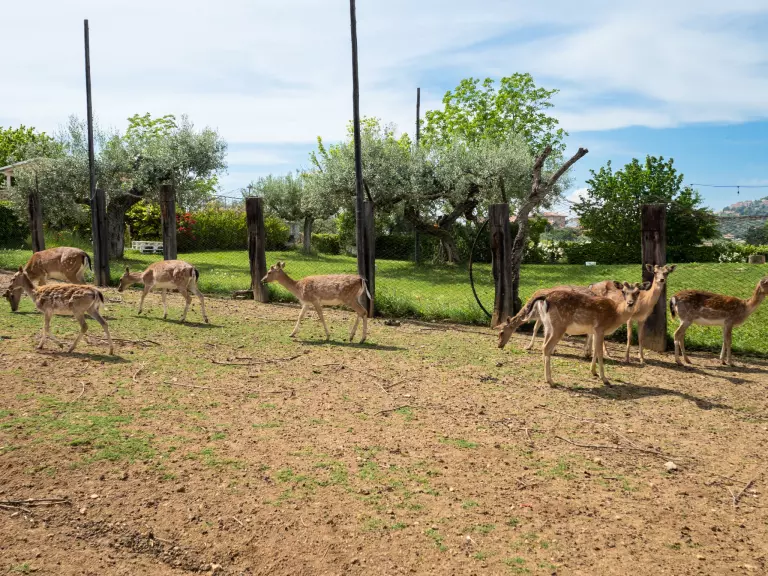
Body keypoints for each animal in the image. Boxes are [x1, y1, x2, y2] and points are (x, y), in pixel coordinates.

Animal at [497, 282, 644, 386]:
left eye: (638, 292)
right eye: (623, 291)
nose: (630, 303)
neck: (615, 315)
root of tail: (544, 298)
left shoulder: (596, 331)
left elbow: (596, 351)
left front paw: (594, 372)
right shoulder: (600, 329)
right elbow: (599, 352)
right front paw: (605, 379)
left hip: (551, 325)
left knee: (545, 345)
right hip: (558, 326)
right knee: (546, 346)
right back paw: (551, 381)